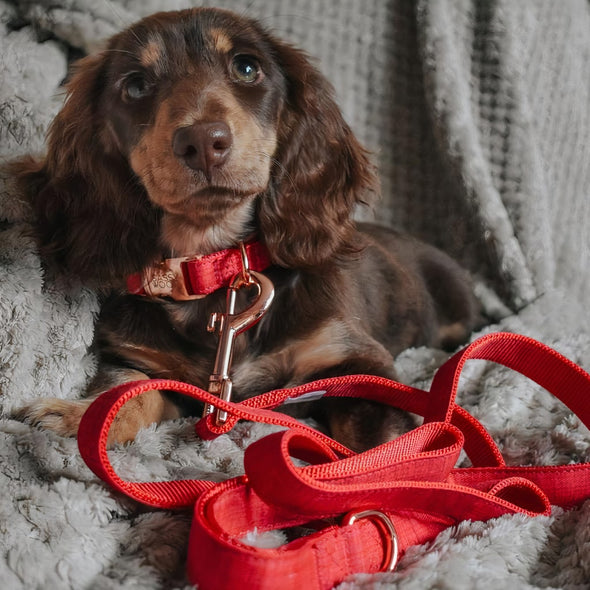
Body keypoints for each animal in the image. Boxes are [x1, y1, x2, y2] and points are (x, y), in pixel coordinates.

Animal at [13, 6, 484, 454]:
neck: (212, 265)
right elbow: (126, 392)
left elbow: (382, 448)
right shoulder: (151, 368)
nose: (203, 142)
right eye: (135, 86)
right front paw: (75, 416)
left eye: (246, 67)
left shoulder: (361, 366)